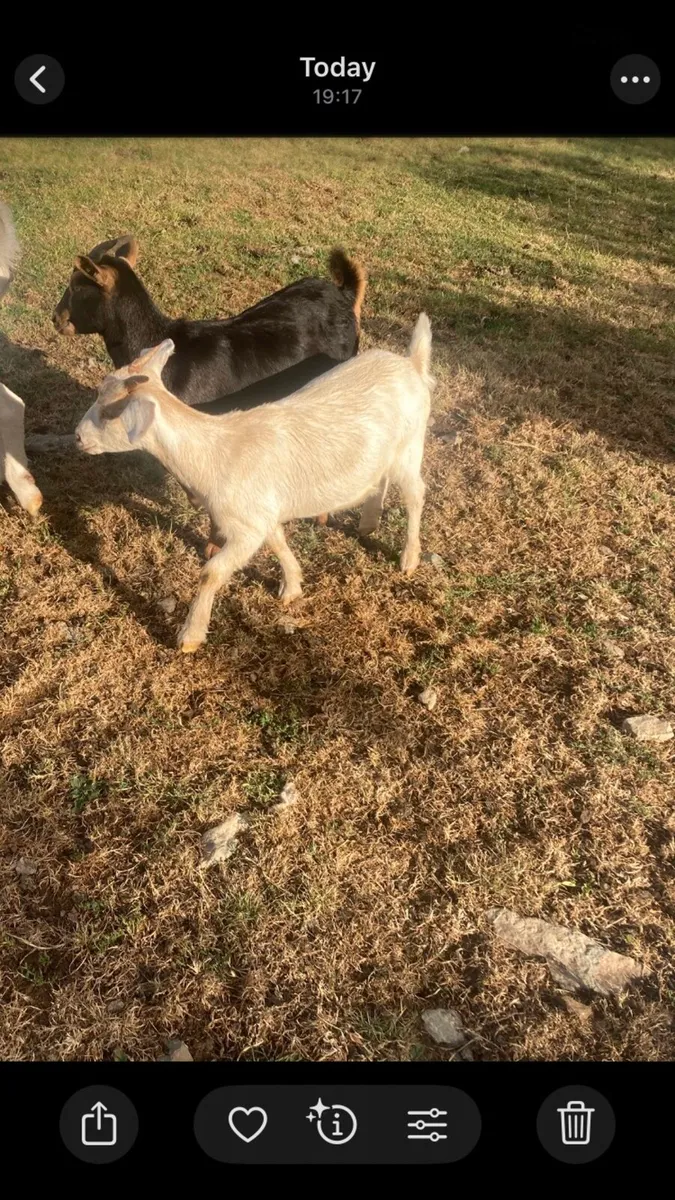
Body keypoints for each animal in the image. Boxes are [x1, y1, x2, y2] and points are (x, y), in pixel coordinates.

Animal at [75, 317, 433, 652]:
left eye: (110, 412)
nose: (77, 436)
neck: (213, 452)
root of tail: (411, 364)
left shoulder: (244, 527)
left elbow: (212, 572)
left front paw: (190, 636)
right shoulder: (261, 513)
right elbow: (277, 541)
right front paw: (292, 586)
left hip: (411, 444)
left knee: (415, 493)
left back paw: (409, 558)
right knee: (381, 477)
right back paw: (369, 523)